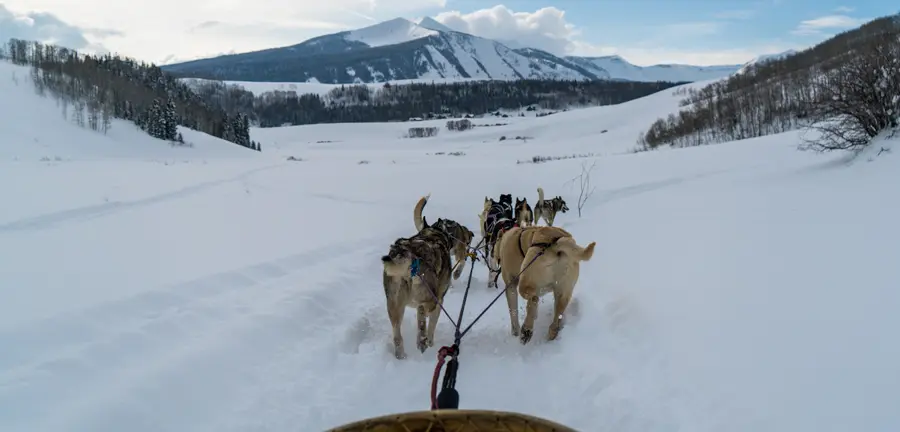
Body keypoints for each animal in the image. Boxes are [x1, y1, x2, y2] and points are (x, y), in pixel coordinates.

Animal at [380, 196, 454, 358]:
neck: (431, 235)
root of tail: (410, 254)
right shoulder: (439, 301)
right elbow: (432, 325)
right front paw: (431, 343)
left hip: (393, 305)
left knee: (397, 336)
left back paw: (401, 355)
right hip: (430, 299)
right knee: (422, 315)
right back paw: (422, 341)